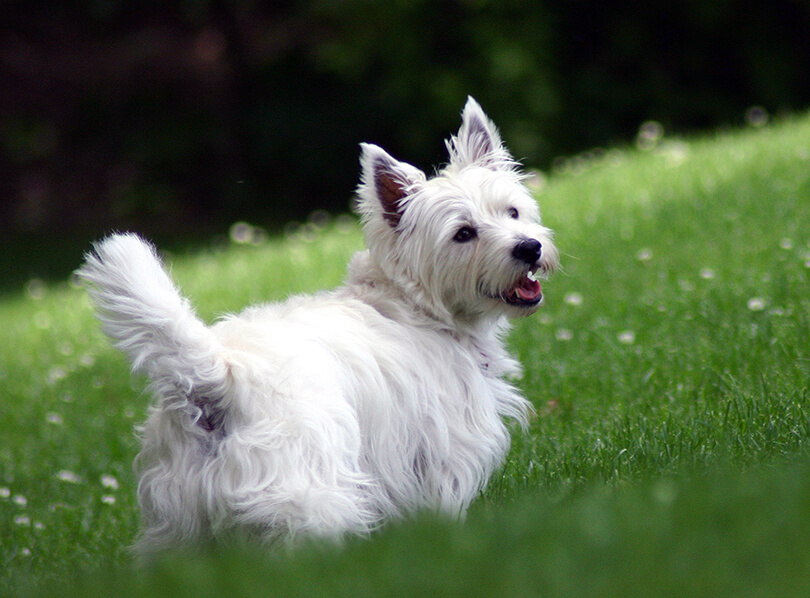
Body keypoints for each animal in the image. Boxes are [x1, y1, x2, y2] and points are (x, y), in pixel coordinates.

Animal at [79, 98, 556, 556]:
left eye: (512, 211)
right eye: (463, 234)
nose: (529, 248)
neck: (417, 306)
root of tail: (216, 376)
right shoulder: (447, 447)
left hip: (178, 523)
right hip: (306, 492)